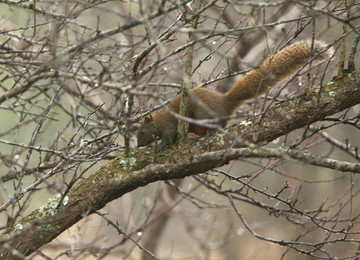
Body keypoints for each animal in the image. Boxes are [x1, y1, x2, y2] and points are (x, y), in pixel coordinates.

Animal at [136, 39, 334, 148]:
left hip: (203, 115)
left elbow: (169, 138)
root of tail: (226, 101)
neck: (158, 120)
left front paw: (160, 146)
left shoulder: (169, 125)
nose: (138, 146)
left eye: (142, 132)